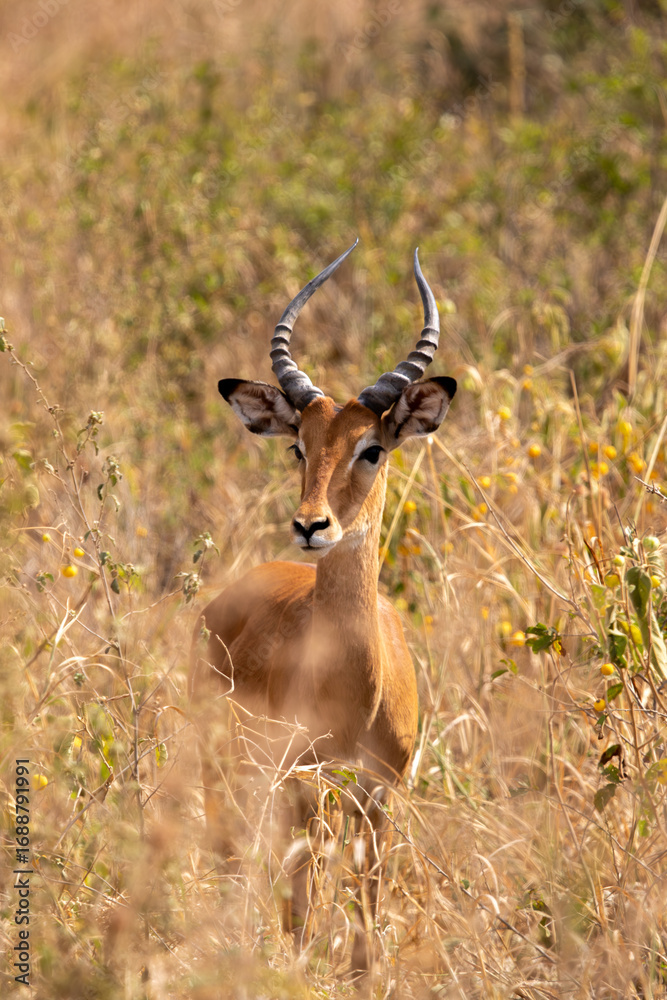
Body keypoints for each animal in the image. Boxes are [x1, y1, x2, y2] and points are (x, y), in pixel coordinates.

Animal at [189, 240, 456, 979]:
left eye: (373, 448)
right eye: (297, 445)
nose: (311, 526)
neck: (356, 688)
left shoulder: (379, 794)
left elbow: (365, 928)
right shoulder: (307, 787)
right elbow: (304, 918)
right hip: (238, 772)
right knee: (239, 867)